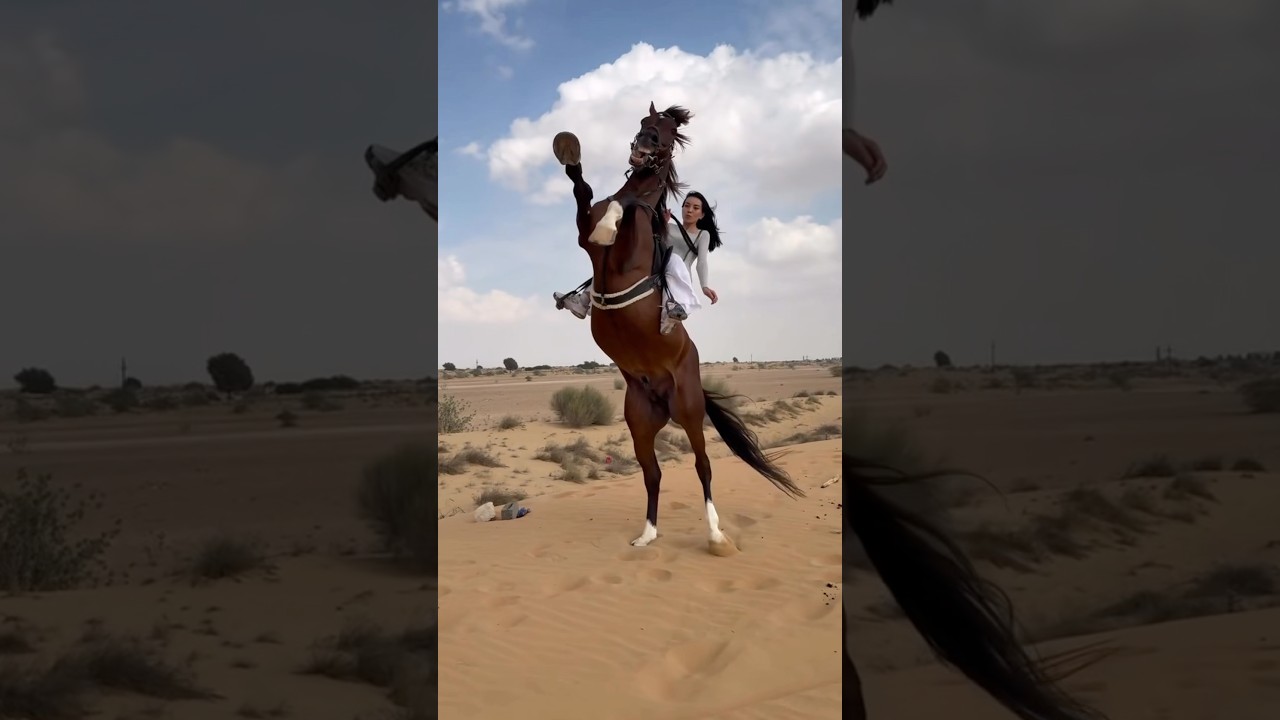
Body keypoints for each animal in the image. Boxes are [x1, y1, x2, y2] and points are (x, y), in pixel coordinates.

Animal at [550, 102, 804, 555]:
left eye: (666, 133)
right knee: (653, 473)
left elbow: (629, 204)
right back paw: (647, 534)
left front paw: (616, 215)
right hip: (640, 422)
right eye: (642, 123)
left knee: (703, 466)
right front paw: (570, 154)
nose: (642, 145)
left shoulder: (626, 244)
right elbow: (584, 192)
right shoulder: (586, 239)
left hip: (689, 411)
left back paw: (717, 536)